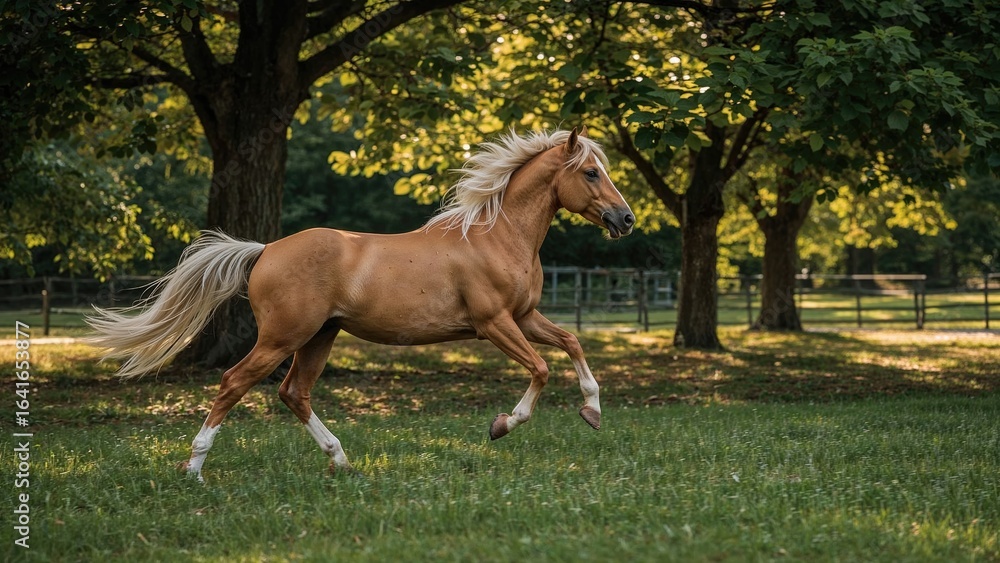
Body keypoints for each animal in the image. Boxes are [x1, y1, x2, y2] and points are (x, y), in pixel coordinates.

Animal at [86, 128, 634, 481]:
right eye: (590, 173)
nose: (625, 218)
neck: (497, 236)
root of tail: (265, 250)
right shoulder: (494, 322)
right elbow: (541, 368)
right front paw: (502, 425)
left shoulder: (524, 317)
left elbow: (572, 343)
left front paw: (592, 411)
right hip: (282, 337)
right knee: (233, 383)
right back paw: (194, 469)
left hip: (319, 337)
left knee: (293, 392)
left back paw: (341, 461)